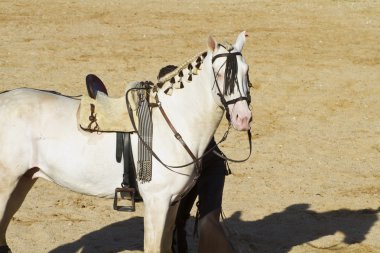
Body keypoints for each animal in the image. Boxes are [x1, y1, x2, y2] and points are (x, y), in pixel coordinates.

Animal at [0, 32, 252, 253]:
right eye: (220, 74)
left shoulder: (172, 204)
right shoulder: (157, 202)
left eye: (246, 72)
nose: (243, 118)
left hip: (24, 181)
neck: (173, 122)